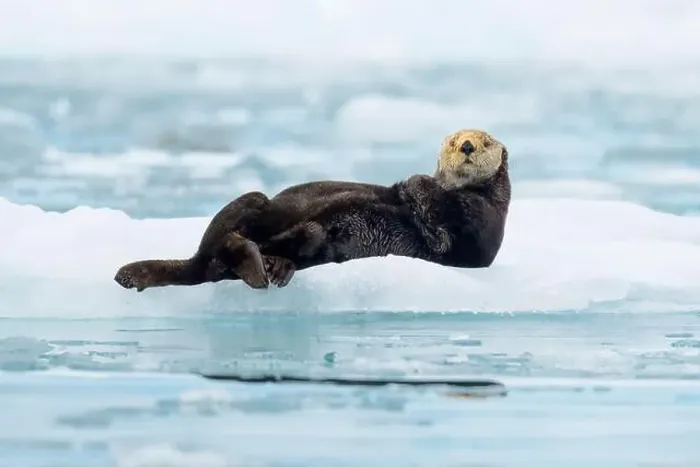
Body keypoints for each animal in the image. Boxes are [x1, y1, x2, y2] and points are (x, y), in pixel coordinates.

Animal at [114, 129, 511, 292]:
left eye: (486, 141)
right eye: (451, 141)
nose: (467, 145)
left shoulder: (478, 230)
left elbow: (448, 236)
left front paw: (415, 183)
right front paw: (409, 183)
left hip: (304, 237)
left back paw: (268, 269)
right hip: (252, 203)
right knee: (226, 239)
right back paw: (264, 266)